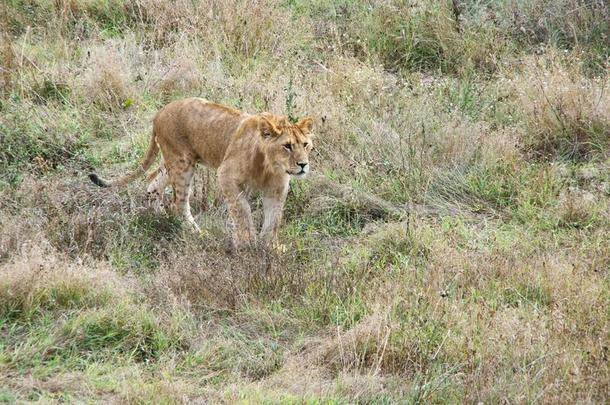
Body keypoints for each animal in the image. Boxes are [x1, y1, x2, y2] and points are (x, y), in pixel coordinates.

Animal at [90, 98, 314, 246]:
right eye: (287, 146)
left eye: (305, 144)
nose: (303, 164)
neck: (269, 167)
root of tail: (160, 112)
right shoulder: (226, 176)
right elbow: (242, 211)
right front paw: (247, 243)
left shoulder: (277, 189)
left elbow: (273, 220)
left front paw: (270, 249)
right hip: (182, 165)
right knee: (179, 204)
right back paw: (197, 234)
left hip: (173, 160)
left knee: (153, 179)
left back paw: (159, 217)